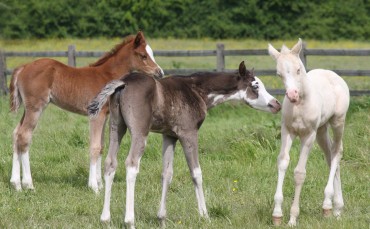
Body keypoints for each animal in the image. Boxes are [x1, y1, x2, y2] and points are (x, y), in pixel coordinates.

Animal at [9, 31, 163, 192]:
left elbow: (101, 146)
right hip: (36, 108)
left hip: (28, 109)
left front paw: (101, 183)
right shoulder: (96, 115)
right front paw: (94, 186)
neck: (106, 75)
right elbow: (94, 147)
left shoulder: (105, 116)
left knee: (16, 134)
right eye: (143, 55)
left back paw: (15, 183)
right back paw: (28, 184)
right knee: (24, 136)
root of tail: (23, 67)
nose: (160, 72)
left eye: (151, 54)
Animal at [268, 38, 348, 226]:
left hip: (337, 122)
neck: (300, 105)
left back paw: (331, 205)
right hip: (321, 130)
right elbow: (282, 162)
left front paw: (292, 218)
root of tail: (333, 75)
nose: (292, 95)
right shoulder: (287, 131)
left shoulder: (308, 135)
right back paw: (333, 208)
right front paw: (277, 214)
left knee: (337, 152)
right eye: (279, 74)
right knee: (330, 157)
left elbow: (299, 173)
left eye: (298, 69)